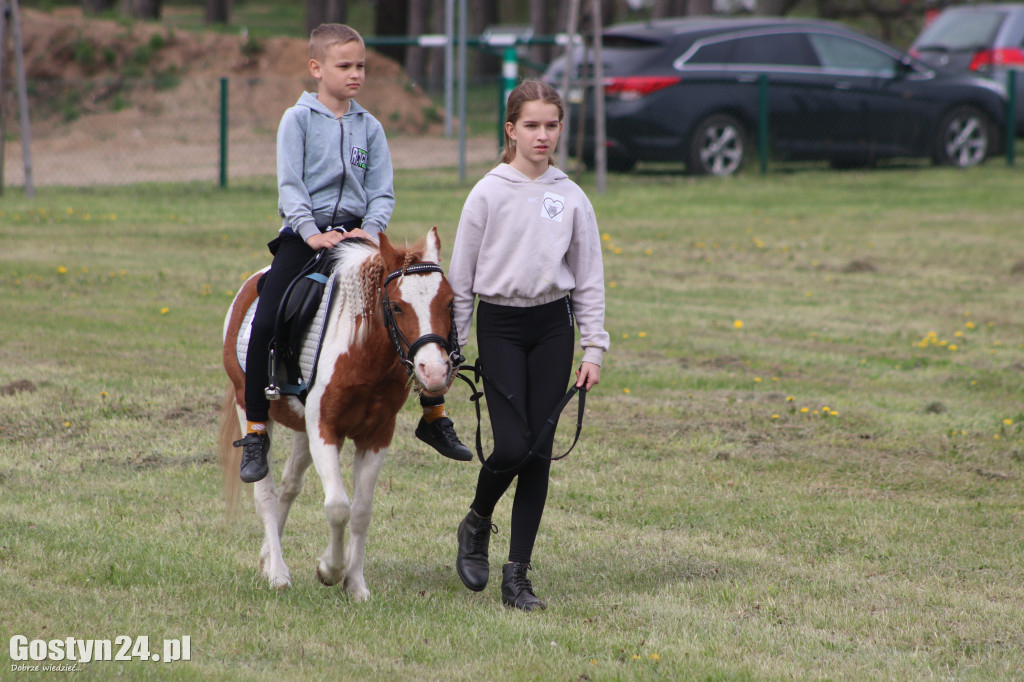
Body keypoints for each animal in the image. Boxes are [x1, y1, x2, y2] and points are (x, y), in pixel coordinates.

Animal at [219, 225, 460, 598]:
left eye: (449, 303)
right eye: (396, 306)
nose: (434, 371)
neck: (363, 352)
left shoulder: (376, 436)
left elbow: (360, 511)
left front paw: (355, 584)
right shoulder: (325, 429)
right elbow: (337, 507)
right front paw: (329, 570)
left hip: (302, 430)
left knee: (289, 486)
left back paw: (267, 558)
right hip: (251, 409)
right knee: (266, 493)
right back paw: (277, 572)